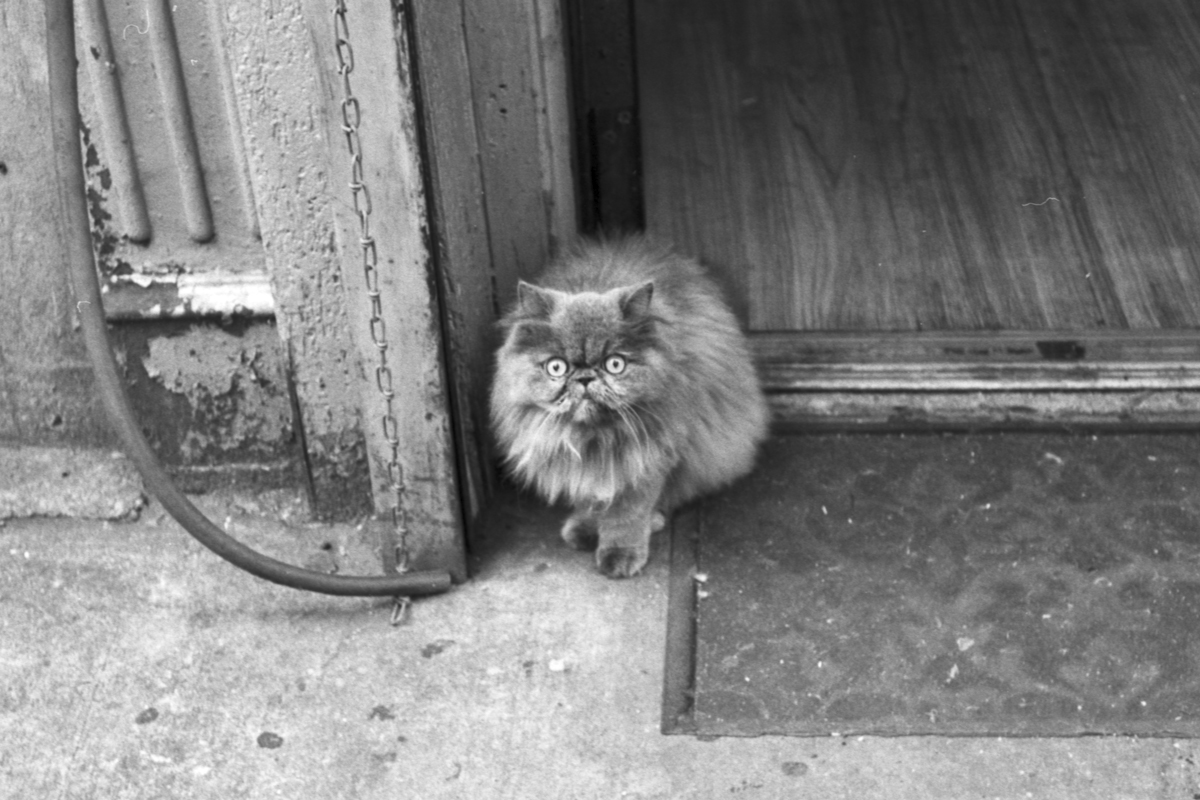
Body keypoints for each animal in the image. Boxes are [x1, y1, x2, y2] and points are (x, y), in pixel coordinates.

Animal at [489, 235, 763, 578]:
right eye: (557, 368)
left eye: (615, 364)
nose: (585, 377)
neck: (594, 439)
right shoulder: (581, 463)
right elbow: (591, 498)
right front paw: (585, 528)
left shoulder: (650, 458)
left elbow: (627, 514)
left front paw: (620, 556)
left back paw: (654, 521)